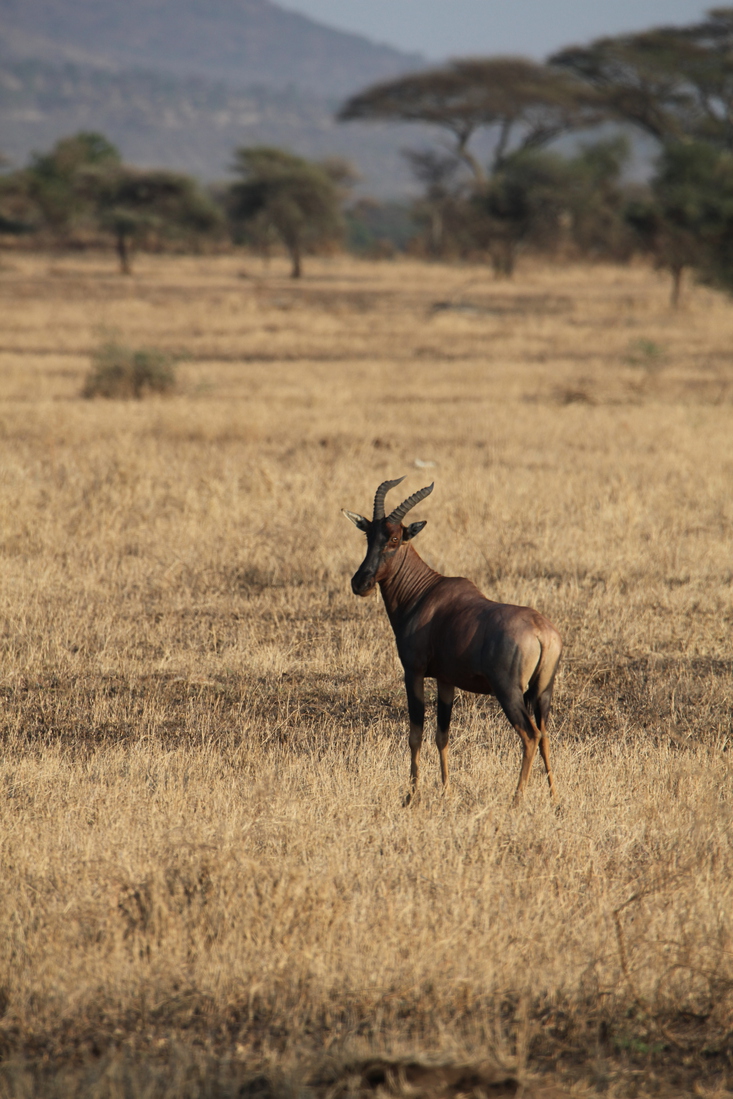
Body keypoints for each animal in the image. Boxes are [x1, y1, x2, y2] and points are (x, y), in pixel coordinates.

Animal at [345, 476, 562, 804]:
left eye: (395, 539)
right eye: (369, 535)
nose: (361, 583)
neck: (424, 593)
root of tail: (542, 633)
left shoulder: (414, 672)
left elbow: (416, 733)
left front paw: (411, 796)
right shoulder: (446, 680)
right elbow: (442, 735)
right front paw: (446, 790)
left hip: (509, 692)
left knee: (530, 735)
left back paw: (516, 800)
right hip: (542, 692)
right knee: (545, 734)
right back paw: (555, 799)